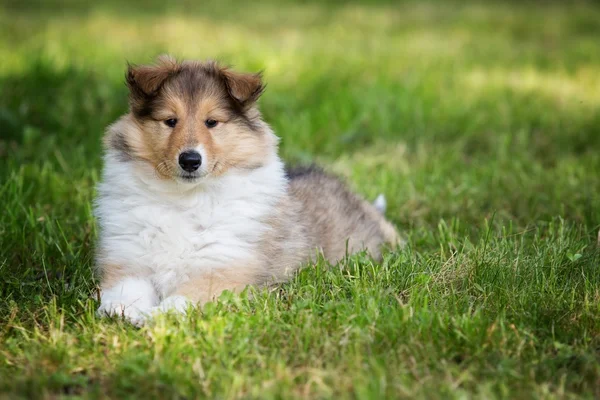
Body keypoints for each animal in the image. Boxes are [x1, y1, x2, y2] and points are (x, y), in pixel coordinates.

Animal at [95, 56, 398, 324]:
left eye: (211, 122)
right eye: (170, 121)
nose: (190, 160)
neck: (186, 198)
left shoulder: (224, 269)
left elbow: (183, 298)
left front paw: (157, 317)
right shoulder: (128, 257)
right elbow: (125, 287)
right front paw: (122, 311)